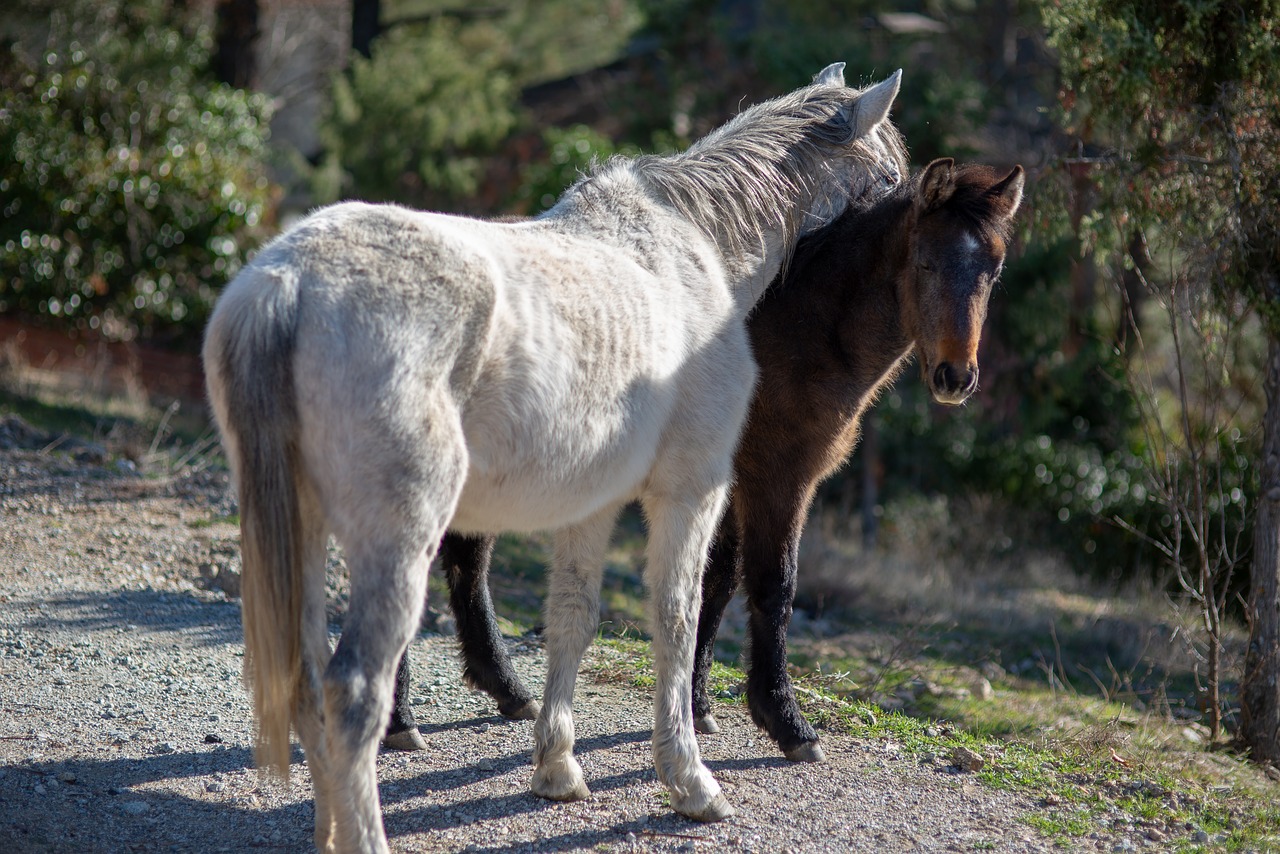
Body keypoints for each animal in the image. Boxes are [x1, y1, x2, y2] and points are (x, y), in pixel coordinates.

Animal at [204, 63, 906, 850]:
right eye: (888, 181)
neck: (693, 250)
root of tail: (290, 282)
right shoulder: (690, 493)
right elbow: (676, 618)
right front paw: (690, 780)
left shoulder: (591, 506)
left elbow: (573, 618)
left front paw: (557, 768)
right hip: (397, 538)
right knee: (353, 692)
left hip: (301, 526)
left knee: (306, 681)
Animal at [384, 160, 1024, 763]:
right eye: (926, 263)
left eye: (992, 270)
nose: (956, 377)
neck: (799, 329)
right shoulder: (778, 477)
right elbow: (772, 584)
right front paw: (785, 721)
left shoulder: (738, 482)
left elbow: (717, 580)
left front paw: (698, 702)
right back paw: (401, 719)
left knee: (466, 562)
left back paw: (505, 690)